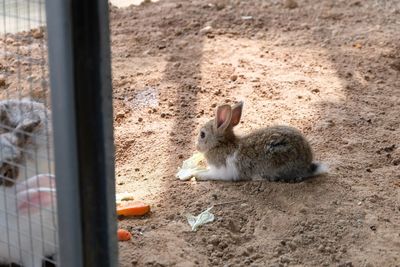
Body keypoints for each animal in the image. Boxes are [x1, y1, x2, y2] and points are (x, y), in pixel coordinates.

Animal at [195, 101, 328, 183]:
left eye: (202, 134)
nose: (197, 148)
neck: (221, 144)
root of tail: (307, 165)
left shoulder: (221, 171)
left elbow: (211, 174)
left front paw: (198, 175)